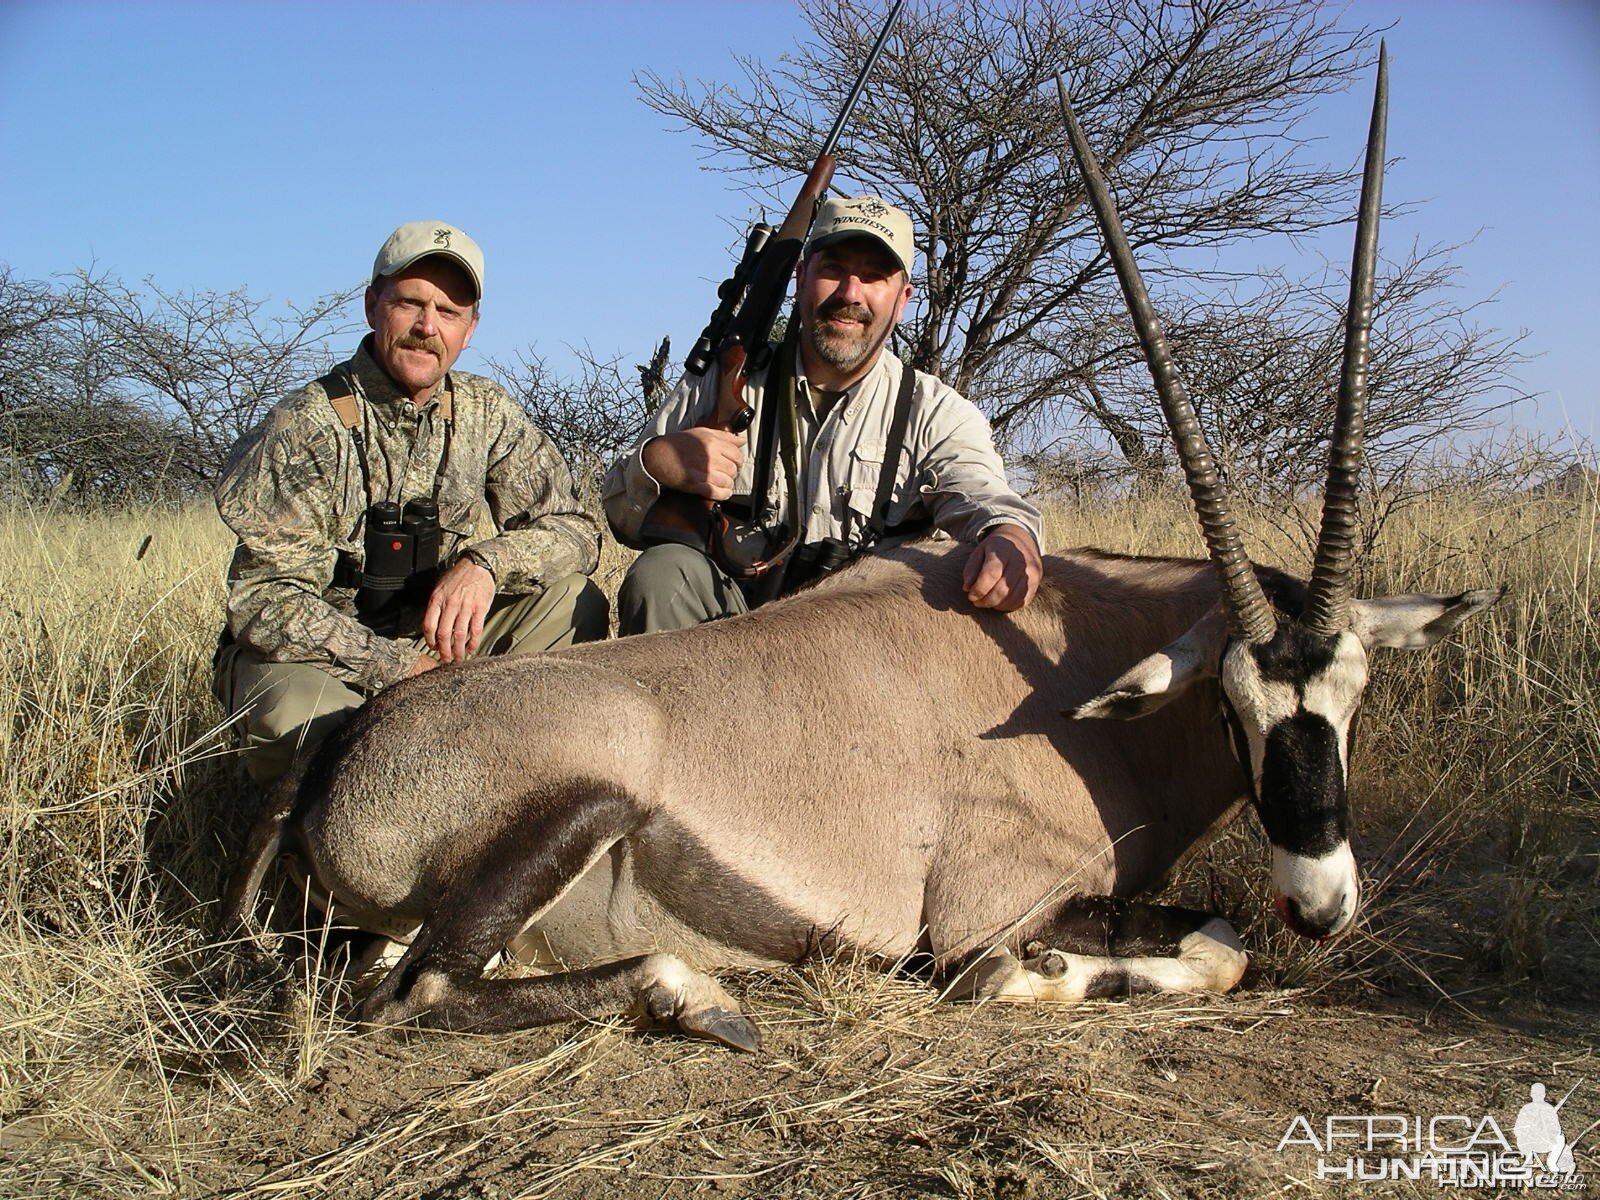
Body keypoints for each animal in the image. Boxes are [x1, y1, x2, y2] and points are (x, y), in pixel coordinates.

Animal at [219, 54, 1491, 1049]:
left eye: (1353, 697)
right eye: (1233, 707)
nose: (1320, 905)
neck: (1071, 676)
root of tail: (339, 752)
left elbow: (1219, 940)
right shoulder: (996, 902)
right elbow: (1187, 951)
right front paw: (1045, 975)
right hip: (573, 804)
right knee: (418, 994)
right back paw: (695, 996)